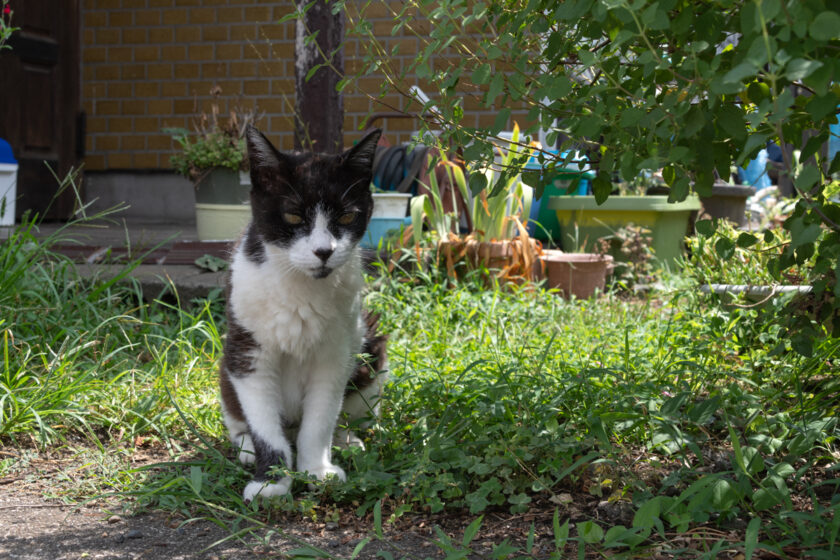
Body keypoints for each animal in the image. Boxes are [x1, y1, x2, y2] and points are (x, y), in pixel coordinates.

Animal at [217, 127, 388, 504]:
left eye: (346, 217)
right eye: (294, 217)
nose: (324, 251)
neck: (299, 285)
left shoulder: (336, 354)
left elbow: (320, 421)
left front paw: (317, 471)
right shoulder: (247, 352)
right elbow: (264, 426)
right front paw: (271, 480)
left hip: (370, 352)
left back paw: (346, 440)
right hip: (226, 367)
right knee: (240, 420)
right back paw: (246, 448)